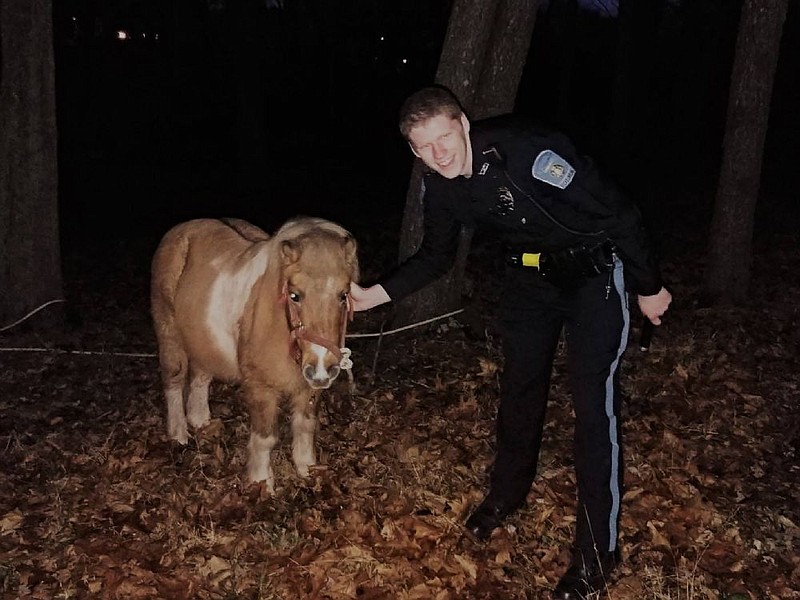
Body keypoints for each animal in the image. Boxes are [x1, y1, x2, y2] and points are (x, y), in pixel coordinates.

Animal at [149, 218, 360, 490]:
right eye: (295, 295)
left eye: (344, 295)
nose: (323, 368)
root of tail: (180, 231)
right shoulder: (261, 388)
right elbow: (265, 438)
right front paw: (262, 482)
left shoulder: (308, 386)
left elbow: (305, 426)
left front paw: (308, 469)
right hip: (170, 337)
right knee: (174, 380)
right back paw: (179, 435)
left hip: (203, 342)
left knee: (200, 376)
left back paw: (201, 421)